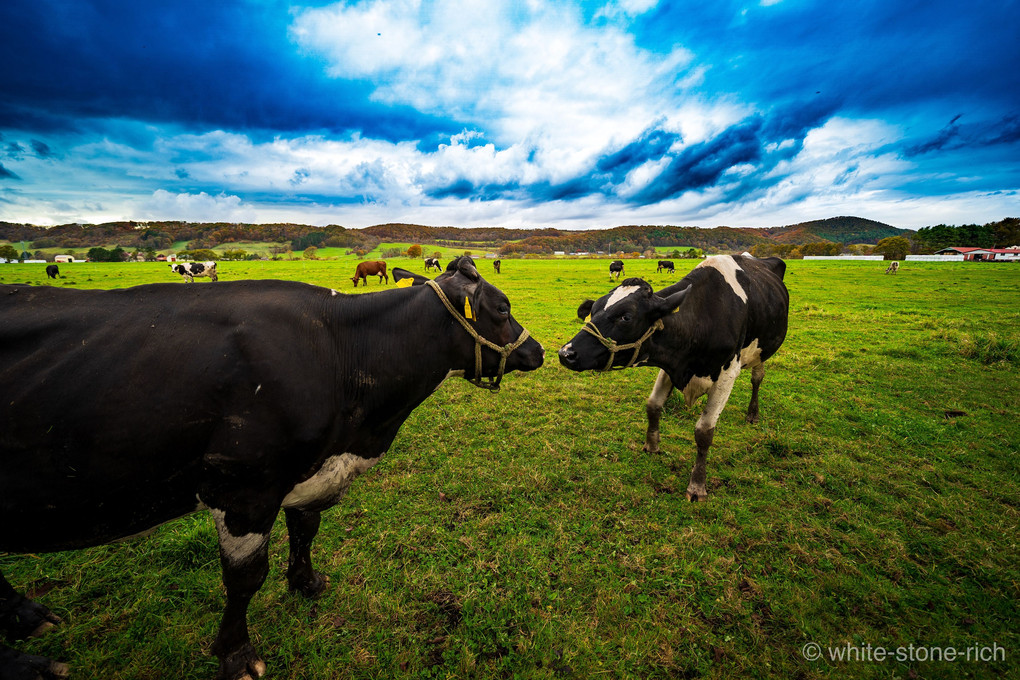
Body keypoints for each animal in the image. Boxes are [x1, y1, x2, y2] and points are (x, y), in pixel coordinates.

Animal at [0, 256, 546, 680]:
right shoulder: (244, 490)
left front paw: (306, 583)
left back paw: (27, 618)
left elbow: (306, 529)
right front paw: (237, 655)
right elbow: (245, 579)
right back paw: (31, 663)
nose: (538, 350)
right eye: (502, 307)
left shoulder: (309, 474)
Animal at [558, 253, 787, 499]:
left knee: (757, 378)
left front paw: (697, 485)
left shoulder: (728, 373)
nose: (566, 353)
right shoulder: (669, 363)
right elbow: (653, 406)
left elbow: (704, 431)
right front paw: (652, 446)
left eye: (626, 317)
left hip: (761, 352)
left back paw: (753, 414)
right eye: (594, 310)